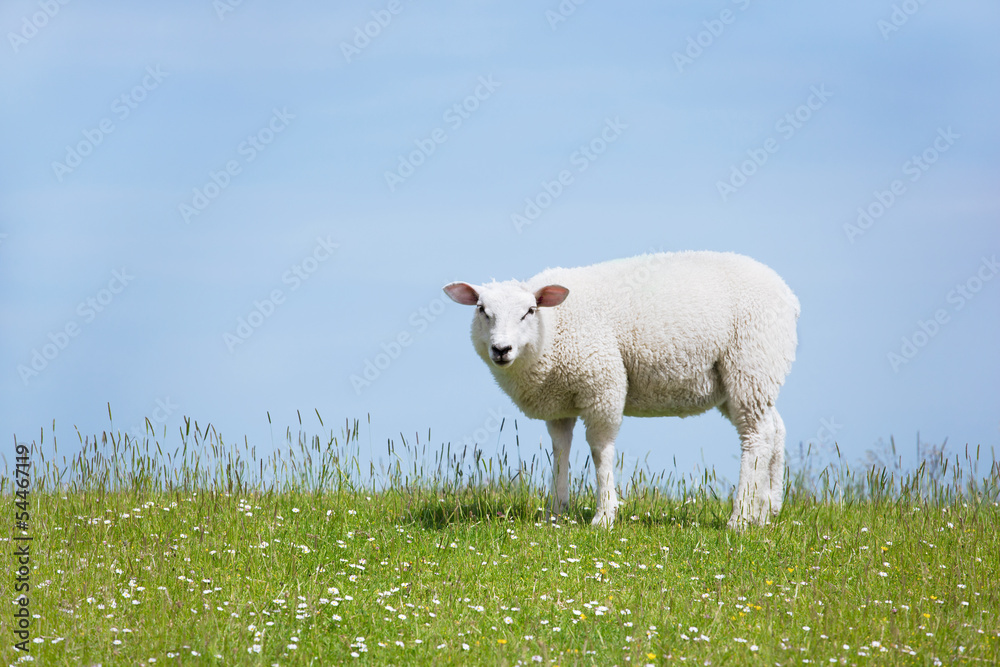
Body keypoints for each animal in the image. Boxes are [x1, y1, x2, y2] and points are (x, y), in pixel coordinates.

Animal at [443, 251, 800, 529]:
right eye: (482, 310)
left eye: (529, 311)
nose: (501, 349)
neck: (554, 329)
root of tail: (788, 295)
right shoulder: (559, 403)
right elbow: (560, 452)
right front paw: (556, 514)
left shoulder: (603, 384)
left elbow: (600, 451)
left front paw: (604, 516)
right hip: (744, 378)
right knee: (775, 429)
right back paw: (766, 511)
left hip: (750, 362)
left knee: (756, 436)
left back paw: (739, 518)